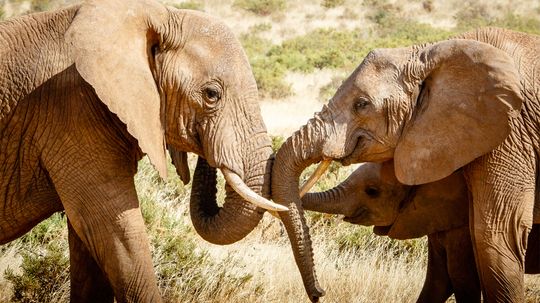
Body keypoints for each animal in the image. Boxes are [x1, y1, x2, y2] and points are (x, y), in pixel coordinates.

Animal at [0, 1, 288, 302]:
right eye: (212, 94)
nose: (207, 156)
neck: (155, 13)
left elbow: (89, 242)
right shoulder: (71, 115)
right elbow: (115, 234)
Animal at [274, 27, 540, 302]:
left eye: (361, 104)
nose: (320, 293)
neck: (431, 51)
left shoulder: (511, 133)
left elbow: (495, 235)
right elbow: (439, 280)